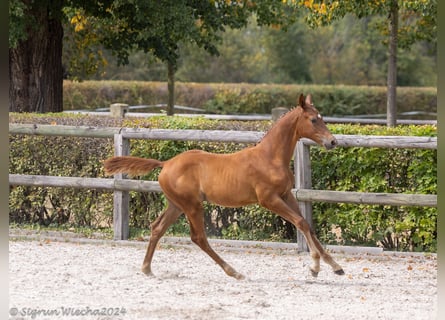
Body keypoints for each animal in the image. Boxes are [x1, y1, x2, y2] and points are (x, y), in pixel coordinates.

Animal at [104, 94, 344, 278]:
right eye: (313, 120)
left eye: (322, 118)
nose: (332, 142)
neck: (270, 157)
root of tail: (166, 163)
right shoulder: (269, 200)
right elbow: (301, 222)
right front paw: (315, 266)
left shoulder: (287, 195)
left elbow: (308, 225)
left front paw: (336, 267)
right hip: (192, 205)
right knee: (198, 238)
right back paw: (234, 272)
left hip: (177, 205)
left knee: (157, 228)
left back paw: (147, 269)